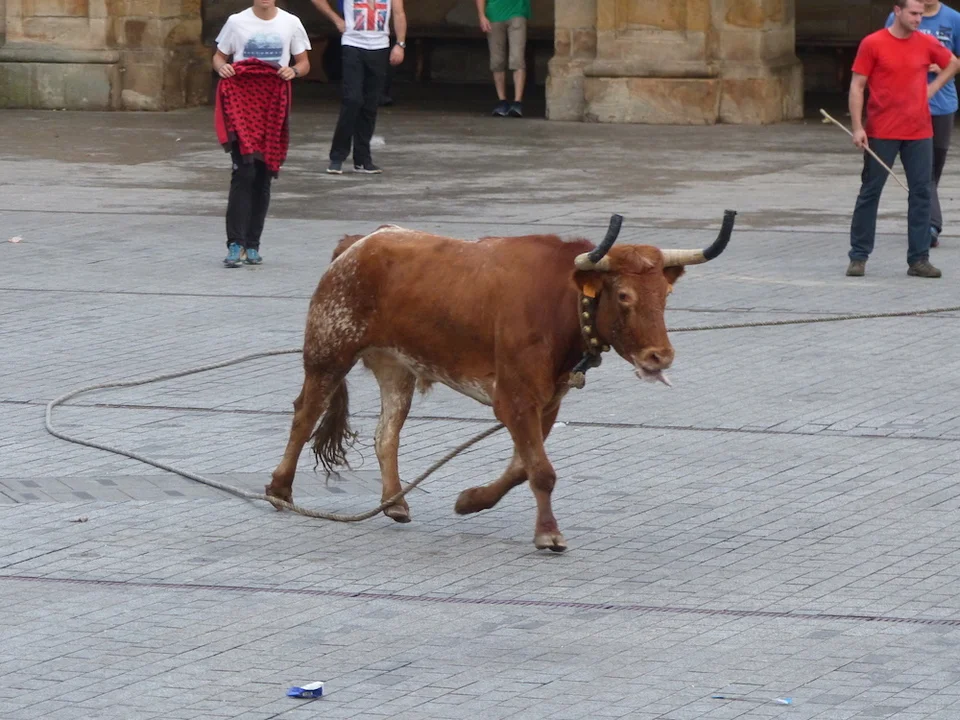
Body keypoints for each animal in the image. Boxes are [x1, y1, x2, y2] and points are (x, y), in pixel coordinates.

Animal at [267, 211, 737, 551]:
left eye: (665, 296)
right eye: (624, 296)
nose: (660, 355)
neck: (561, 300)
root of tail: (358, 243)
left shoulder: (547, 401)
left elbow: (522, 467)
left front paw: (471, 500)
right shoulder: (514, 398)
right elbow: (541, 470)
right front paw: (548, 532)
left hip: (396, 367)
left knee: (387, 433)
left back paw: (395, 501)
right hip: (328, 353)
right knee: (305, 416)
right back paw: (280, 489)